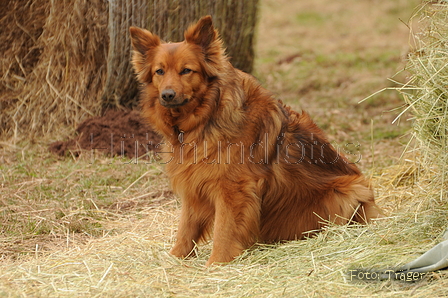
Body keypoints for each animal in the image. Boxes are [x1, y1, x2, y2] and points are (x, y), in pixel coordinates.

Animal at [129, 15, 382, 266]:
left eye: (186, 71)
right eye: (159, 71)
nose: (167, 95)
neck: (206, 116)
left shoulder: (233, 189)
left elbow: (223, 230)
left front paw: (216, 264)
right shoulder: (194, 180)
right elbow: (186, 227)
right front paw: (175, 258)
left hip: (348, 191)